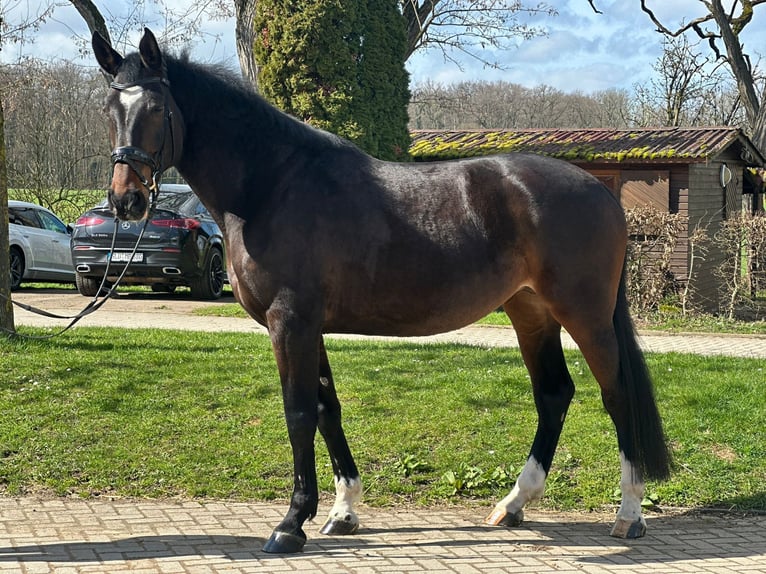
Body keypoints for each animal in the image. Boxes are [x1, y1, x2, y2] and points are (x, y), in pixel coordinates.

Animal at [92, 28, 670, 554]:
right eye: (109, 109)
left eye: (156, 107)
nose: (126, 201)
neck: (272, 185)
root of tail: (601, 191)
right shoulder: (310, 327)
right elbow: (327, 410)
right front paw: (342, 512)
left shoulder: (290, 322)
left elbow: (299, 413)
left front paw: (290, 523)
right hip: (530, 311)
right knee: (553, 394)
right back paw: (513, 505)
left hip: (585, 314)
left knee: (616, 394)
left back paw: (629, 514)